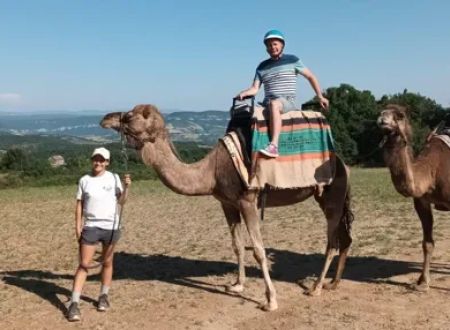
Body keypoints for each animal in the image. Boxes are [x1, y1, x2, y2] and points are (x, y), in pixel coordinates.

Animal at [100, 104, 354, 310]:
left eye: (129, 116)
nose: (105, 118)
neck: (211, 172)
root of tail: (342, 163)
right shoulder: (227, 204)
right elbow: (237, 246)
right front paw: (237, 285)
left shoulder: (247, 201)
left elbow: (259, 251)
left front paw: (270, 301)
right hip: (327, 198)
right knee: (344, 238)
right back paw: (333, 283)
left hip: (332, 197)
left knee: (332, 242)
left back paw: (316, 287)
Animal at [376, 104, 450, 290]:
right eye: (381, 111)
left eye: (400, 115)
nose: (382, 118)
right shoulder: (421, 202)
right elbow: (427, 243)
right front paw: (423, 281)